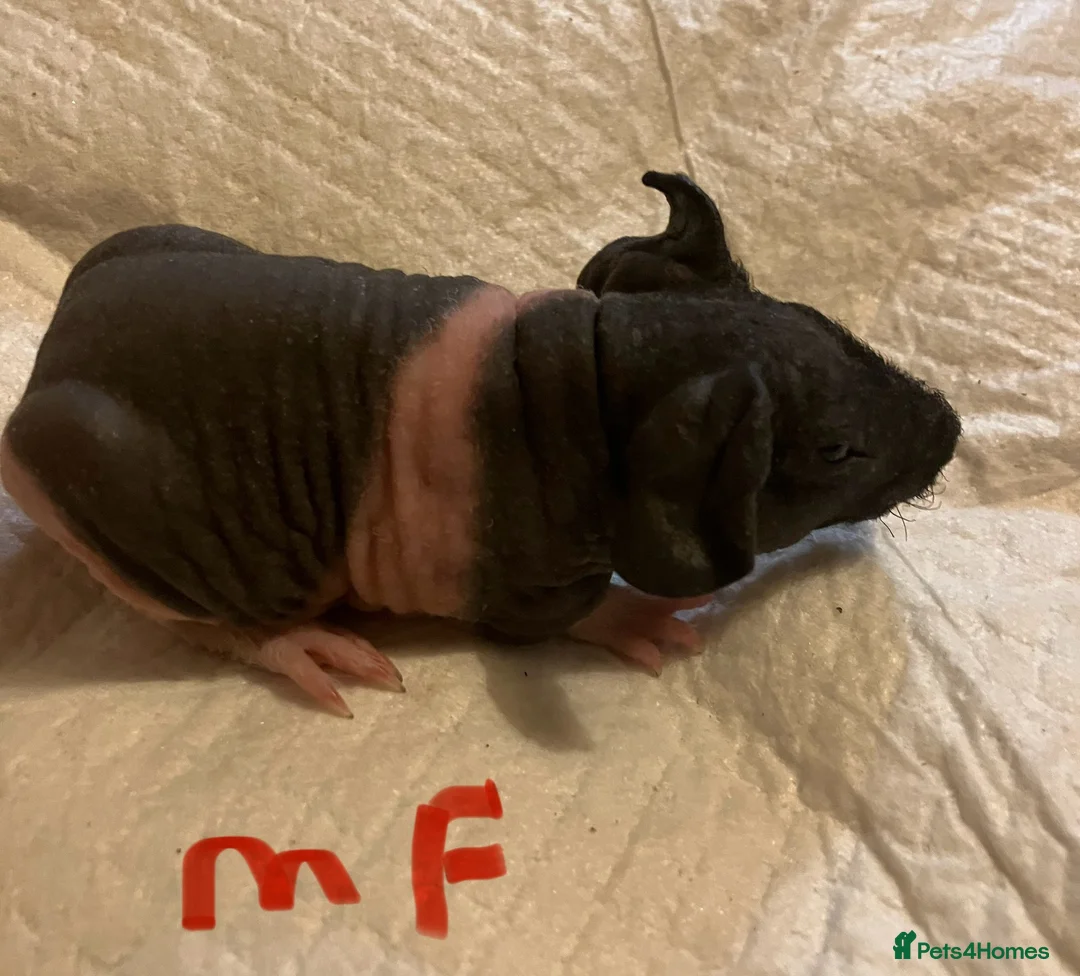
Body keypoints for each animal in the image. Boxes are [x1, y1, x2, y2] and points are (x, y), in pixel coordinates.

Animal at [0, 172, 962, 716]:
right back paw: (318, 650)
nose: (951, 428)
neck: (588, 374)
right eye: (836, 451)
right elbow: (554, 619)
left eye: (824, 323)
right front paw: (648, 623)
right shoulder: (514, 571)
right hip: (148, 515)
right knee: (208, 621)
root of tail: (46, 368)